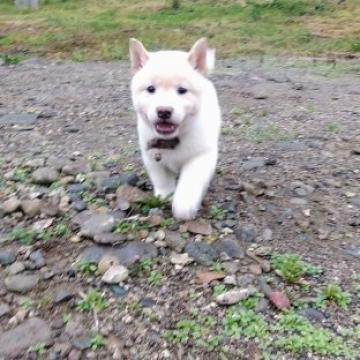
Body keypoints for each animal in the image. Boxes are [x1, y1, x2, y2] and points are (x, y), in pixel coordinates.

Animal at [128, 38, 221, 219]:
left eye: (182, 90)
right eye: (150, 89)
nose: (164, 111)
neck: (171, 139)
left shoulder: (200, 157)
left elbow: (190, 183)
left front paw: (184, 206)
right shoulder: (152, 157)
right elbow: (162, 180)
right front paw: (164, 195)